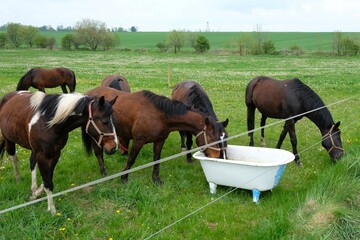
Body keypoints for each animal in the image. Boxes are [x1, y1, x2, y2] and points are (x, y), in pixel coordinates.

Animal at [85, 87, 225, 183]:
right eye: (212, 138)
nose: (218, 157)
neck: (159, 115)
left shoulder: (159, 141)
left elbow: (157, 159)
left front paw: (156, 179)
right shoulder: (138, 141)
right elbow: (131, 159)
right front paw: (124, 178)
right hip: (96, 135)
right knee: (98, 152)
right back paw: (103, 172)